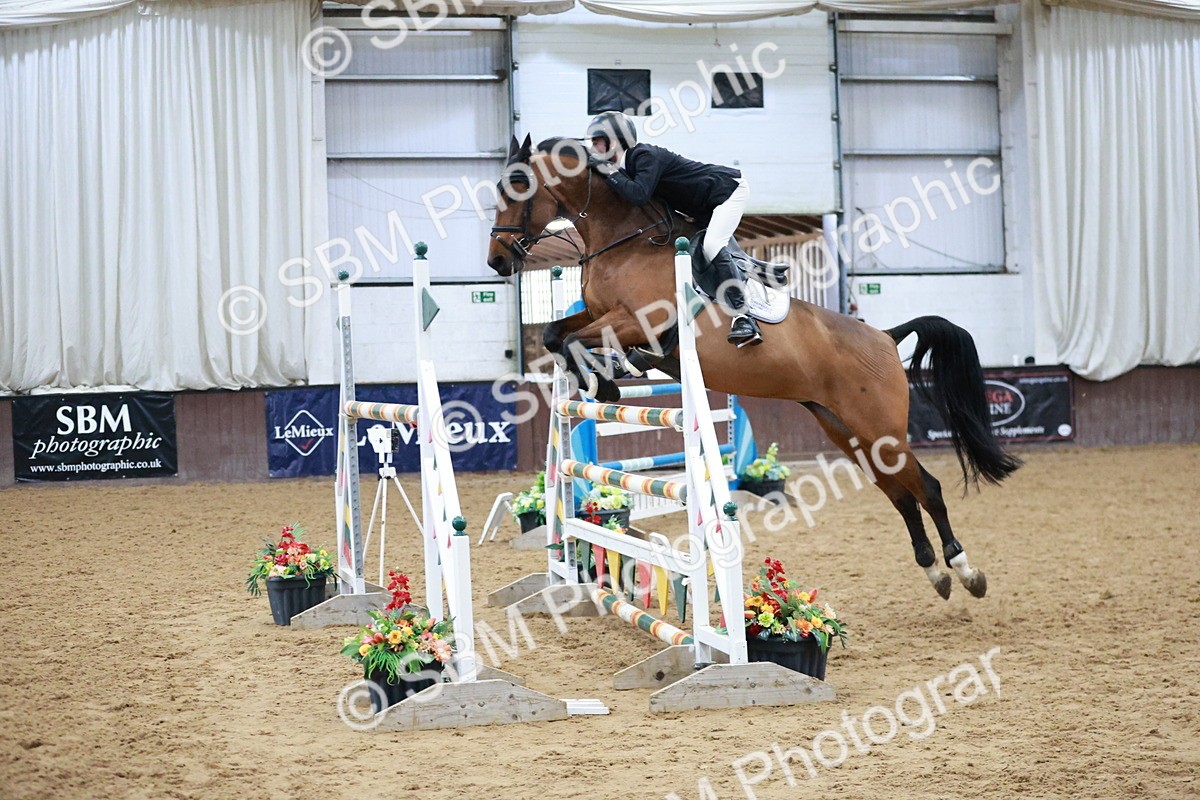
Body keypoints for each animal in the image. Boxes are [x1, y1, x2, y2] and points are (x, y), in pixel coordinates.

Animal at [487, 134, 1022, 600]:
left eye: (517, 188)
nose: (496, 261)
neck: (621, 240)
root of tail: (886, 338)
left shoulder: (638, 321)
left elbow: (575, 339)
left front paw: (606, 383)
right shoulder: (601, 316)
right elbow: (557, 335)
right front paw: (602, 382)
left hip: (880, 429)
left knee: (927, 488)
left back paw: (964, 570)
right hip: (847, 431)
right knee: (900, 494)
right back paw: (935, 572)